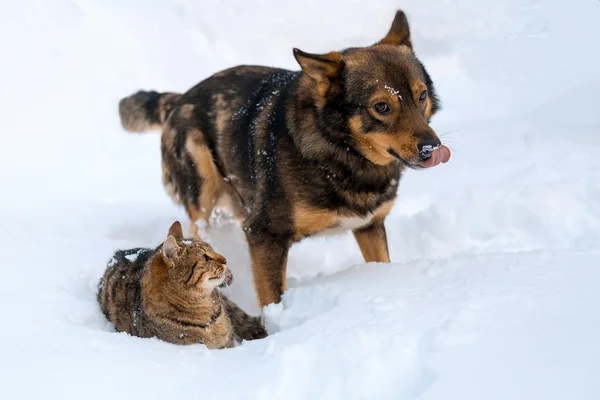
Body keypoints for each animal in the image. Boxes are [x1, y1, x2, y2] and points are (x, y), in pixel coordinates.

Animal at [118, 10, 450, 308]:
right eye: (381, 107)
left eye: (421, 96)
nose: (432, 148)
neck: (339, 150)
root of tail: (180, 98)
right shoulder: (264, 234)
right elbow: (272, 298)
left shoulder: (370, 227)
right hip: (202, 190)